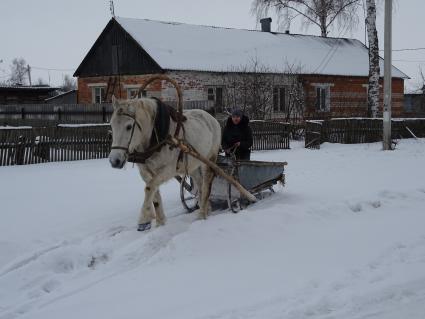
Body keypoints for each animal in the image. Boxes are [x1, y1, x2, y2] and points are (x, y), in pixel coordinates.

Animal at [107, 96, 220, 231]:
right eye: (112, 125)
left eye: (129, 126)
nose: (114, 161)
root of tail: (211, 118)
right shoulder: (145, 171)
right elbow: (154, 193)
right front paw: (160, 222)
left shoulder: (169, 169)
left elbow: (149, 188)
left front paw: (144, 219)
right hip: (193, 164)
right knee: (200, 184)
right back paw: (206, 209)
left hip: (209, 160)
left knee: (206, 184)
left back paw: (202, 214)